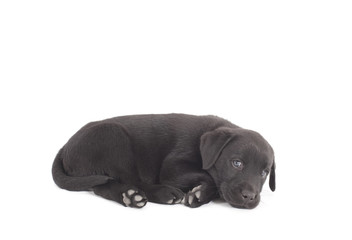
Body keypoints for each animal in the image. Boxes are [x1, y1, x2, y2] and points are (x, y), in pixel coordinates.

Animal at [52, 113, 276, 209]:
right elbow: (208, 176)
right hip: (114, 137)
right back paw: (153, 194)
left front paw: (200, 195)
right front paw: (200, 193)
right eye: (237, 163)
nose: (249, 197)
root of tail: (64, 147)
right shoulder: (173, 167)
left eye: (264, 173)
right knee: (116, 182)